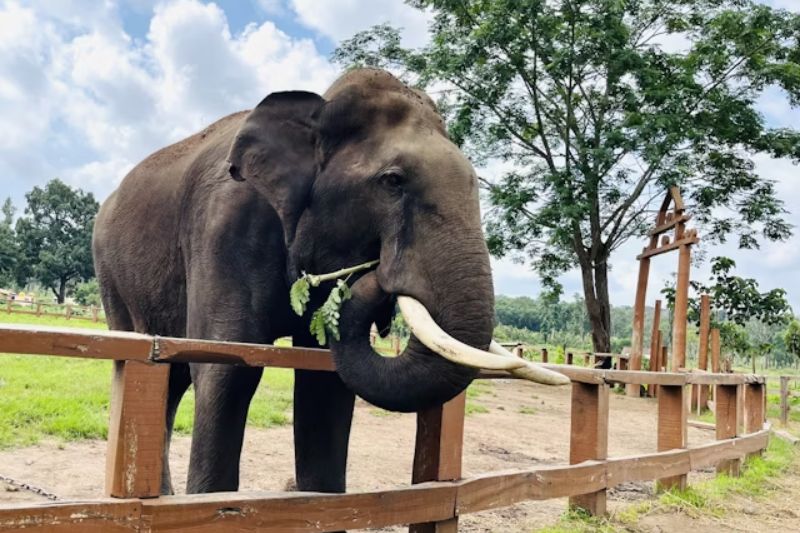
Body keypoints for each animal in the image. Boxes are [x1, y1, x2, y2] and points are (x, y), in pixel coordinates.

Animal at [93, 68, 563, 498]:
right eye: (393, 181)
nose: (376, 274)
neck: (317, 109)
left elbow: (325, 383)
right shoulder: (223, 229)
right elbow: (227, 366)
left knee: (170, 379)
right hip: (111, 275)